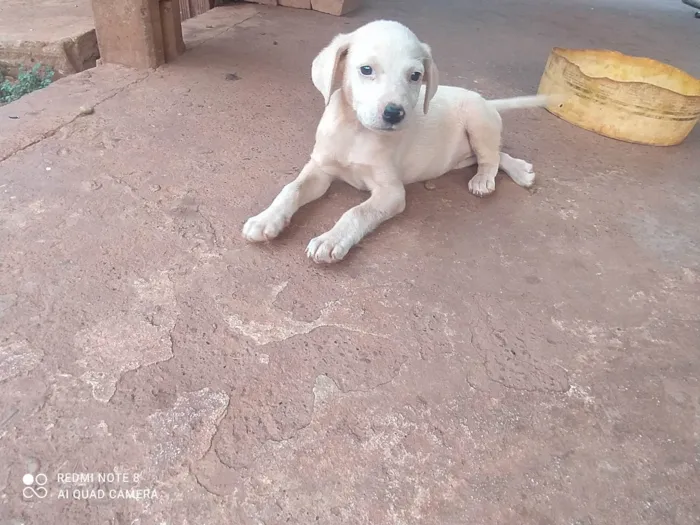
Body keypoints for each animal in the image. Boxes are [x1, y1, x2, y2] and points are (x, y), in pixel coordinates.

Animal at [241, 18, 552, 264]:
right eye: (366, 70)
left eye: (415, 76)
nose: (394, 113)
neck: (357, 131)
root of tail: (487, 101)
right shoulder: (320, 169)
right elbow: (291, 189)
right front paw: (266, 219)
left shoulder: (391, 192)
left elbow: (356, 212)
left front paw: (331, 240)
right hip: (461, 153)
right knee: (495, 155)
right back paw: (520, 170)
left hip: (477, 120)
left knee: (491, 157)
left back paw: (487, 180)